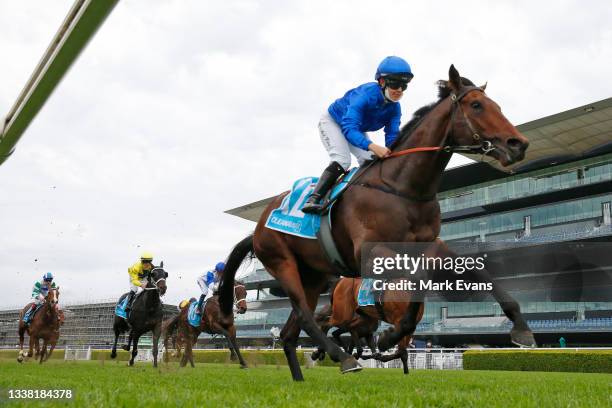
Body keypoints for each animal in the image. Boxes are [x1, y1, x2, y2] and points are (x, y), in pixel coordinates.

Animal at [219, 65, 532, 380]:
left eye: (497, 106)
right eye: (476, 105)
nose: (519, 144)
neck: (404, 189)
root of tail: (259, 225)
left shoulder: (431, 246)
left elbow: (473, 272)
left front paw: (521, 328)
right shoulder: (370, 250)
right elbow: (414, 281)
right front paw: (387, 337)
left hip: (313, 276)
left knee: (289, 333)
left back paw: (301, 377)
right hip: (282, 263)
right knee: (306, 316)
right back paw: (343, 357)